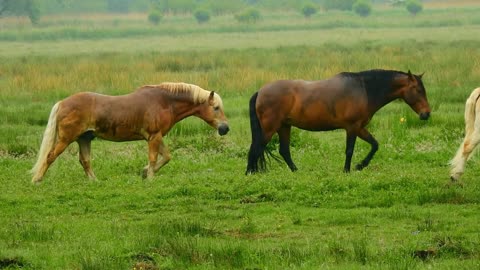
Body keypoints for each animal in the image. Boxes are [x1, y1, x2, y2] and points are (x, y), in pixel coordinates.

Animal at [31, 82, 230, 184]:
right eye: (216, 108)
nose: (225, 128)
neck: (164, 102)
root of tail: (62, 103)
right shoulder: (153, 137)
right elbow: (154, 158)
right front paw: (150, 178)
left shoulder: (157, 136)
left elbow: (166, 157)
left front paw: (145, 173)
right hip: (66, 139)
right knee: (50, 156)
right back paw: (37, 179)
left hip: (84, 138)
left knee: (85, 160)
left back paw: (95, 181)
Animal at [248, 69, 432, 174]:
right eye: (417, 89)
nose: (426, 114)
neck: (364, 89)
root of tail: (261, 91)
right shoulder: (352, 127)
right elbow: (349, 150)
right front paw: (347, 170)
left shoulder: (360, 127)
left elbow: (375, 145)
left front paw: (360, 165)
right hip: (270, 129)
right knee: (256, 148)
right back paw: (250, 172)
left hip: (284, 127)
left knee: (284, 151)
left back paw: (295, 171)